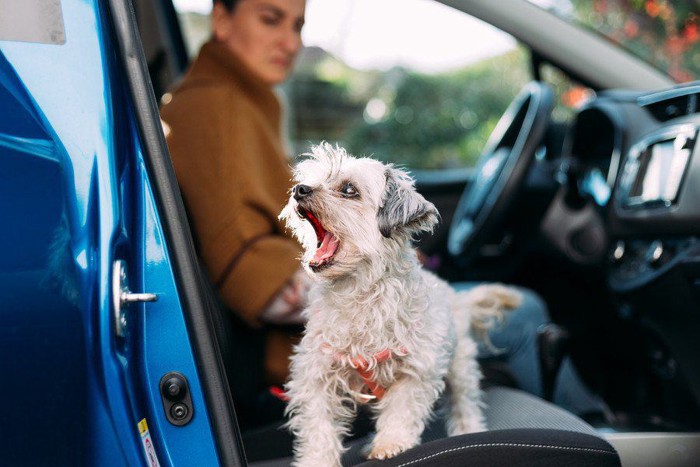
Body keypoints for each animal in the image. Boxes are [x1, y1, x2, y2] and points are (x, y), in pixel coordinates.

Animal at [278, 144, 520, 466]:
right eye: (311, 180)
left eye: (349, 190)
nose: (300, 189)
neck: (358, 293)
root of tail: (454, 296)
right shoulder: (316, 374)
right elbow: (319, 426)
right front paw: (316, 460)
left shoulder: (416, 371)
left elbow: (401, 411)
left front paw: (390, 443)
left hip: (461, 367)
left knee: (464, 404)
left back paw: (469, 431)